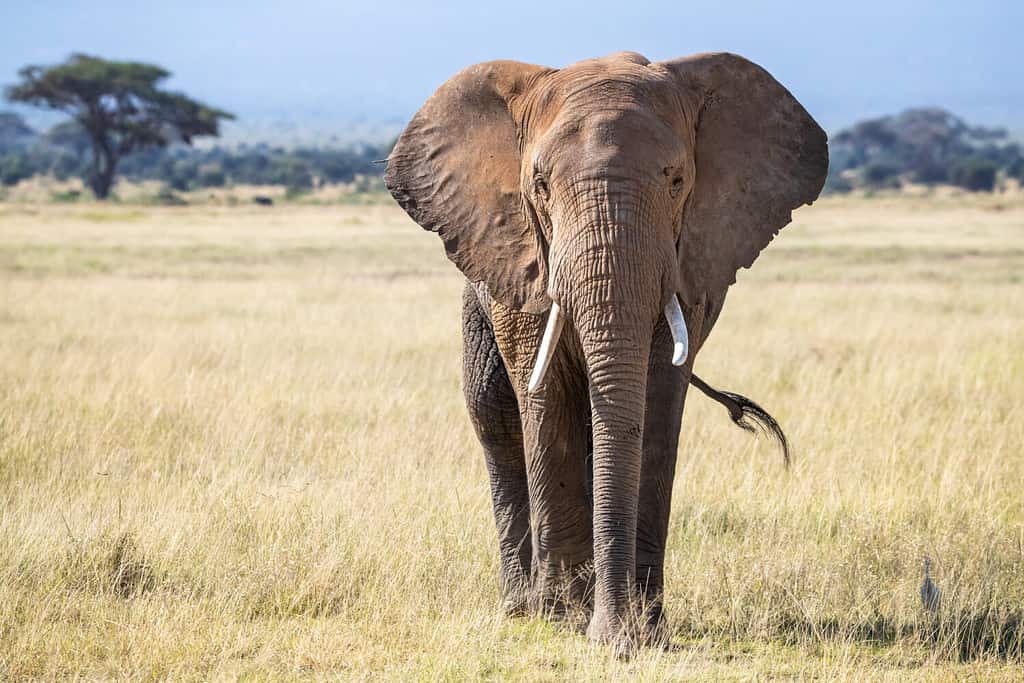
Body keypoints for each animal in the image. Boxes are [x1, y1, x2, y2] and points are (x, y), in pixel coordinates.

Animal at [385, 51, 827, 648]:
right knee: (493, 415)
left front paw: (643, 627)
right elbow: (544, 395)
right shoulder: (523, 257)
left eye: (677, 181)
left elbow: (658, 401)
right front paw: (564, 619)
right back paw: (522, 606)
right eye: (540, 185)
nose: (615, 638)